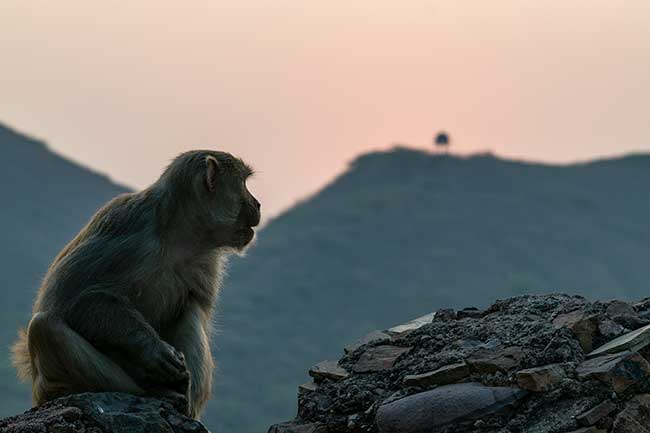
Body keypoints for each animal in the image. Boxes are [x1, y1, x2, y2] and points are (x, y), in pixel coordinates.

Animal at [10, 150, 258, 416]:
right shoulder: (127, 227)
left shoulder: (206, 261)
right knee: (45, 327)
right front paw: (152, 350)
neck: (178, 235)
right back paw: (152, 392)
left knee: (189, 313)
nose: (257, 204)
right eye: (243, 184)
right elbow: (68, 297)